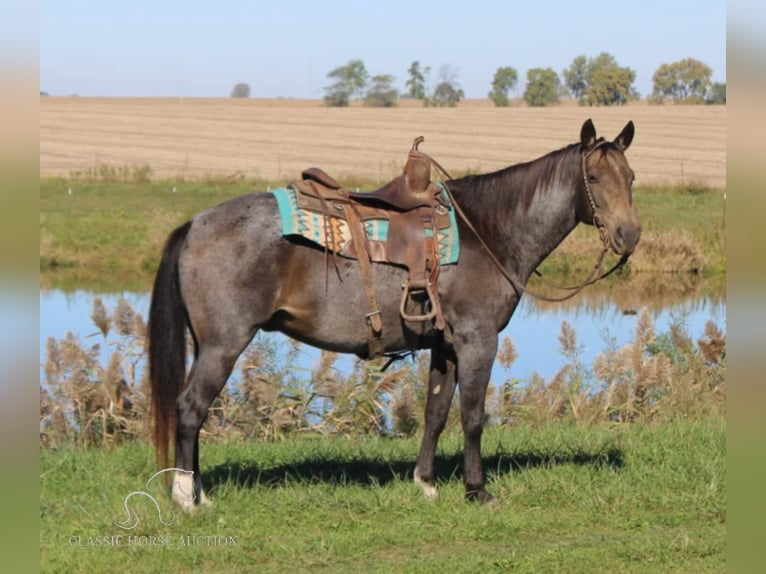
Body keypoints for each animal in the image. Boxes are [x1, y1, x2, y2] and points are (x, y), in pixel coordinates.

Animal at [148, 118, 640, 512]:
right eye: (593, 176)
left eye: (631, 176)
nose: (629, 234)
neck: (488, 231)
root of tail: (196, 224)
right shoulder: (478, 339)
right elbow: (473, 415)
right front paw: (477, 490)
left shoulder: (446, 344)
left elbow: (436, 411)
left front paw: (425, 483)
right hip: (224, 344)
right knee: (191, 408)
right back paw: (186, 498)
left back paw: (199, 491)